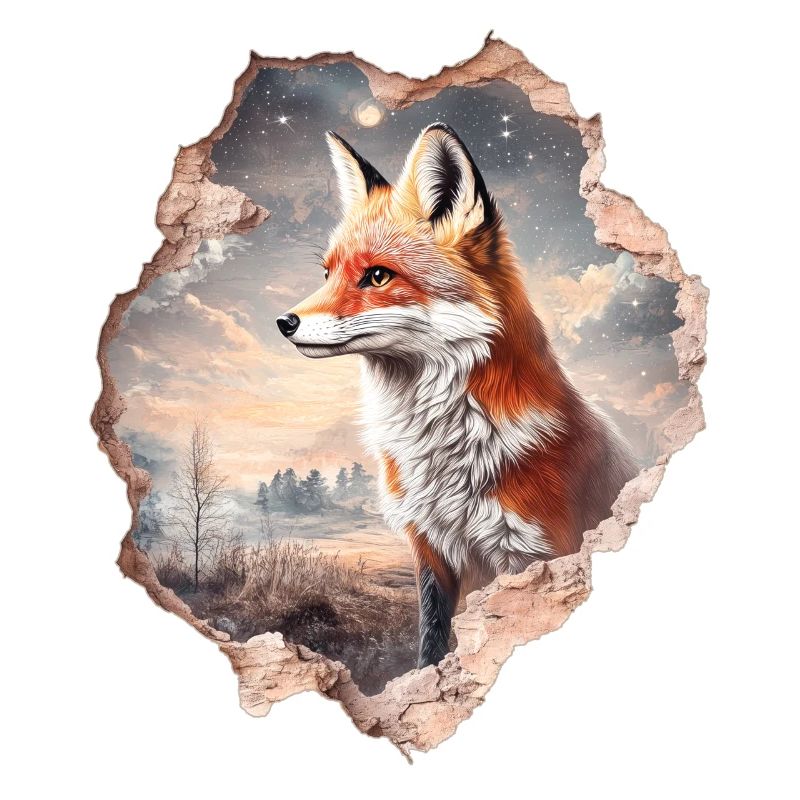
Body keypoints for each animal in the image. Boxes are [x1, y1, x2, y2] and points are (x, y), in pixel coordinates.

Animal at [276, 123, 638, 669]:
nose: (284, 322)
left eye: (377, 275)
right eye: (328, 273)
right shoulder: (431, 549)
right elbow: (432, 643)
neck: (443, 447)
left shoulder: (536, 552)